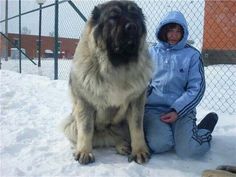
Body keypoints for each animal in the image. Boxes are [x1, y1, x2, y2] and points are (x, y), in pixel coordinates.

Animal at [61, 0, 153, 165]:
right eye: (113, 17)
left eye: (134, 15)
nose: (132, 27)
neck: (117, 67)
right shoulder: (84, 103)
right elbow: (86, 129)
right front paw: (84, 152)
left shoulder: (136, 101)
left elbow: (137, 128)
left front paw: (139, 151)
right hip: (70, 124)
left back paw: (123, 145)